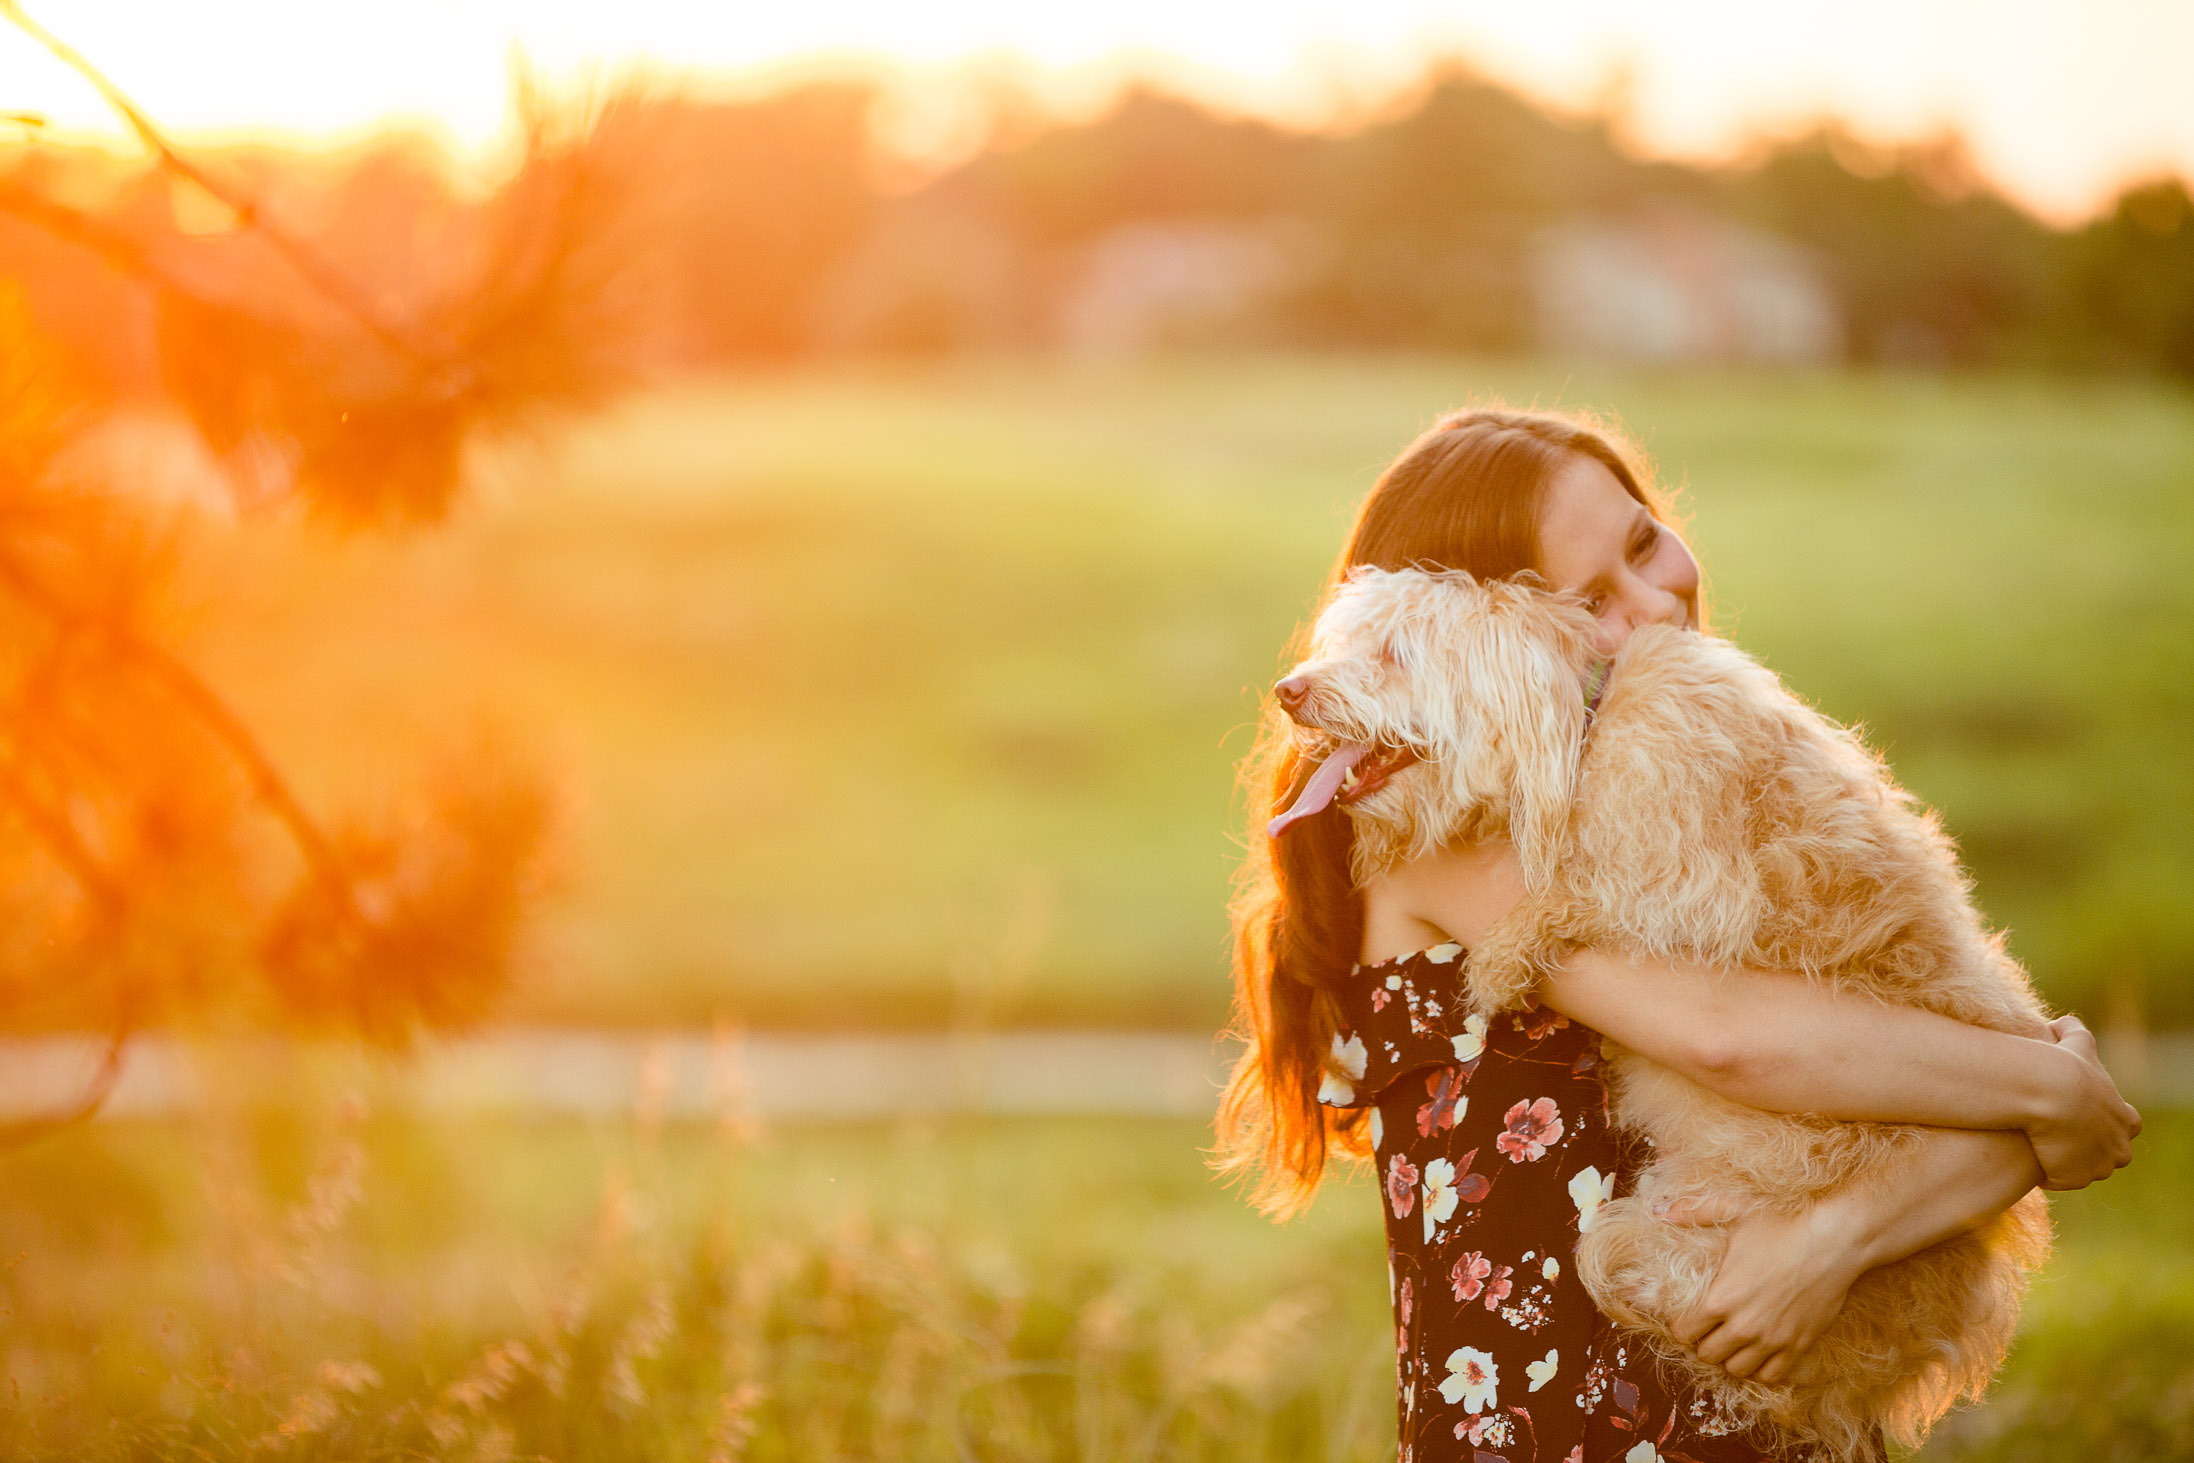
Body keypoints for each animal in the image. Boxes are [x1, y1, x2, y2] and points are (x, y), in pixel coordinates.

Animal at [1272, 565, 2053, 1463]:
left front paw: (1502, 957)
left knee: (1621, 1263)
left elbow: (1575, 886)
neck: (1584, 727)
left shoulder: (1687, 884)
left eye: (1395, 653)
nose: (1288, 690)